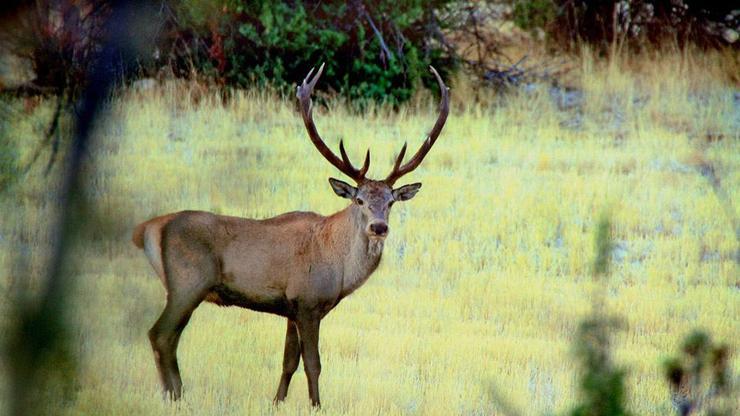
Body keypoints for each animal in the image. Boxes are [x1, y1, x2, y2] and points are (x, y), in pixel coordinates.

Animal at [130, 65, 448, 406]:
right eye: (359, 200)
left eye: (390, 202)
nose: (378, 227)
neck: (338, 268)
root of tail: (147, 229)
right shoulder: (307, 301)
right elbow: (313, 363)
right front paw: (317, 405)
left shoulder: (291, 309)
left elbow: (288, 361)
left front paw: (277, 401)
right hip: (187, 282)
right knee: (160, 335)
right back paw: (174, 396)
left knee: (168, 338)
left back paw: (177, 394)